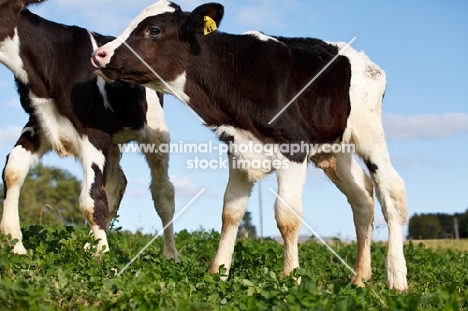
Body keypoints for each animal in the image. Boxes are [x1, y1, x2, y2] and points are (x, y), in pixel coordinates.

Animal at [0, 0, 179, 258]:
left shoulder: (94, 134)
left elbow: (91, 199)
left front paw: (103, 257)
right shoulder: (39, 123)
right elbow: (12, 170)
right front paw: (15, 245)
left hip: (155, 132)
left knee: (163, 192)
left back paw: (170, 255)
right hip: (114, 143)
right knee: (117, 183)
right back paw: (88, 245)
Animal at [92, 0, 410, 292]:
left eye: (154, 30)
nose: (99, 54)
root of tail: (365, 62)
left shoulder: (293, 150)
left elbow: (286, 217)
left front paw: (290, 278)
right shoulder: (238, 150)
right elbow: (231, 212)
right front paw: (218, 273)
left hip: (369, 133)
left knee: (391, 191)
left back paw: (397, 278)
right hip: (333, 151)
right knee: (363, 199)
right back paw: (360, 278)